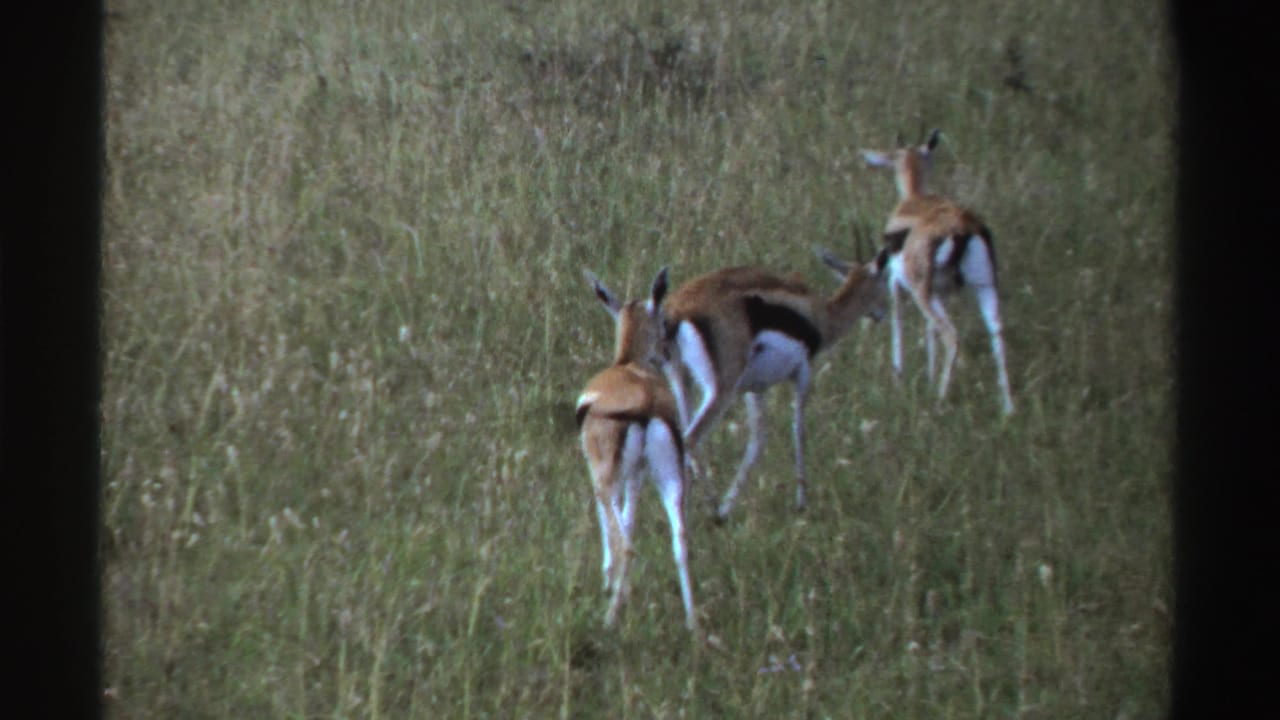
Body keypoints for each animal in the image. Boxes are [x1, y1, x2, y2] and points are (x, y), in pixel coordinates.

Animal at [575, 267, 699, 633]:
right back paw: (694, 625)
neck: (627, 365)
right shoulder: (638, 475)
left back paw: (609, 619)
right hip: (670, 479)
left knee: (627, 545)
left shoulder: (601, 474)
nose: (667, 355)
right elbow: (631, 519)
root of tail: (645, 405)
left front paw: (608, 583)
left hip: (609, 477)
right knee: (681, 541)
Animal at [663, 254, 886, 520]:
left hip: (681, 380)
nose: (881, 313)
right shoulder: (803, 373)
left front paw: (729, 506)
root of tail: (678, 310)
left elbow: (758, 441)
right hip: (720, 390)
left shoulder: (755, 389)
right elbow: (799, 431)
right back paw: (713, 509)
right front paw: (801, 503)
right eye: (883, 282)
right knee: (692, 438)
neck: (821, 315)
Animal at [860, 129, 1015, 415]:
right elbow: (929, 331)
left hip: (923, 292)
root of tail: (963, 226)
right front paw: (929, 379)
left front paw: (899, 381)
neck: (913, 201)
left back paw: (941, 400)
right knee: (997, 333)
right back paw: (1008, 407)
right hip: (984, 287)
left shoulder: (897, 284)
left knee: (951, 336)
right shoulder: (940, 292)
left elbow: (898, 325)